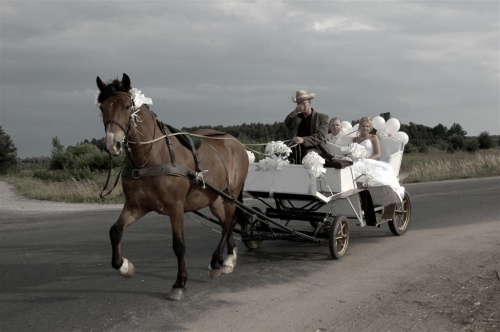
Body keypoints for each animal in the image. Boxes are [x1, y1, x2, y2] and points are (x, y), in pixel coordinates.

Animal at [95, 73, 248, 300]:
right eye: (102, 107)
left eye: (126, 106)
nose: (112, 144)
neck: (150, 158)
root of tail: (235, 142)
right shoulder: (136, 206)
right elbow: (115, 231)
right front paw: (124, 266)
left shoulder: (176, 207)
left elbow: (179, 245)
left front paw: (180, 283)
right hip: (213, 199)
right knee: (224, 224)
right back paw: (228, 258)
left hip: (231, 195)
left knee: (229, 223)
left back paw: (217, 260)